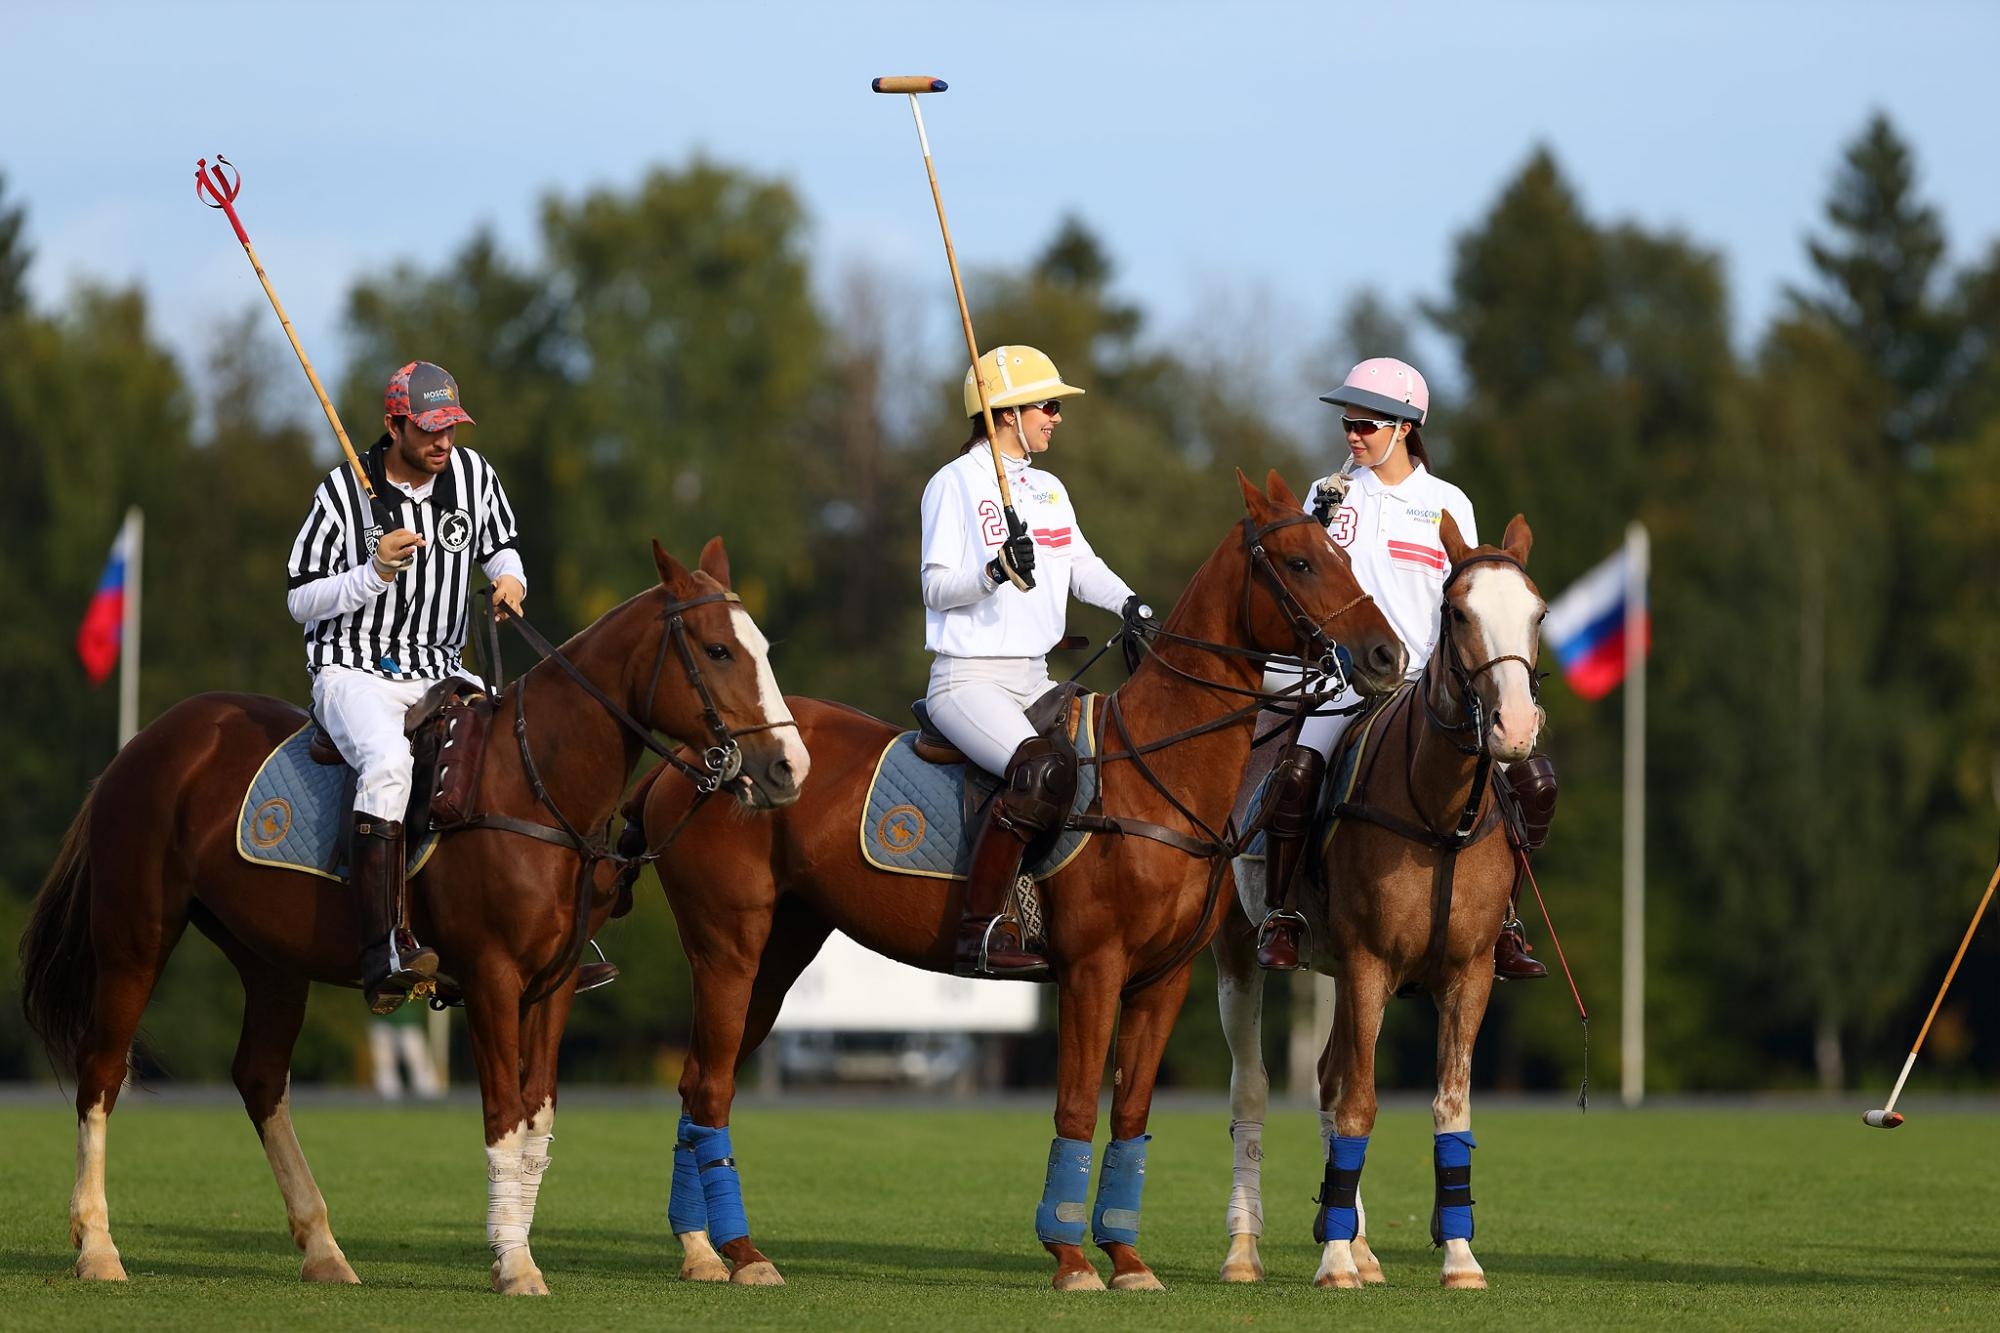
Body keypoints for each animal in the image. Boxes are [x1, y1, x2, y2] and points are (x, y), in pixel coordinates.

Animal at [13, 536, 812, 1288]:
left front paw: (513, 1253)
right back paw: (98, 1247)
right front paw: (515, 1266)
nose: (788, 769)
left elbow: (538, 1123)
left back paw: (325, 1250)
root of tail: (143, 743)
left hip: (271, 958)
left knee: (261, 1077)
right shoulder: (490, 976)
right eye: (717, 649)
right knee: (102, 1067)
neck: (539, 783)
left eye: (766, 648)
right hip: (135, 931)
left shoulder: (552, 986)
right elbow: (503, 1117)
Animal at [624, 470, 1408, 1288]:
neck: (1158, 774)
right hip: (726, 943)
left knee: (700, 1078)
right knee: (709, 1081)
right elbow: (1075, 1106)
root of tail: (692, 762)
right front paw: (1070, 1256)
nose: (1386, 655)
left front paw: (1126, 1258)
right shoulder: (1092, 968)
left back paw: (708, 1247)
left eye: (1341, 554)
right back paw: (725, 1250)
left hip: (779, 952)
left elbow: (1131, 1115)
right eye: (1300, 562)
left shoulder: (1162, 978)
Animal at [1200, 510, 1544, 1288]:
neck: (1441, 816)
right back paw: (1245, 1250)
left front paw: (1458, 1257)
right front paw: (1331, 1262)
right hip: (1239, 949)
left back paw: (1357, 1242)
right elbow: (1360, 1105)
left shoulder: (1471, 972)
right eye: (1458, 612)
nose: (1515, 730)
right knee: (1253, 1088)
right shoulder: (1368, 962)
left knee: (1327, 1078)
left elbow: (1449, 1107)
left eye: (1537, 613)